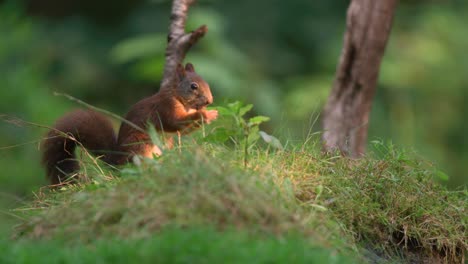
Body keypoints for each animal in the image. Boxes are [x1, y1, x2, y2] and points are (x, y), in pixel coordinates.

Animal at [42, 63, 218, 185]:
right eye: (193, 86)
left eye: (207, 83)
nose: (209, 101)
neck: (176, 95)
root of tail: (117, 163)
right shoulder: (165, 107)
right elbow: (174, 122)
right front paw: (205, 114)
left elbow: (184, 130)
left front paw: (210, 114)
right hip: (140, 146)